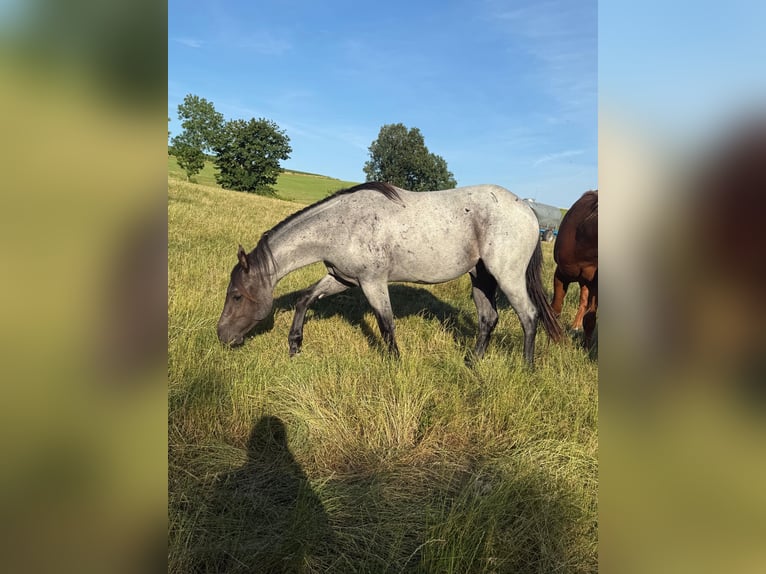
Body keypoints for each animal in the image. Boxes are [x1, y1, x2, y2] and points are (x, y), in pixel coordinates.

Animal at [217, 182, 563, 367]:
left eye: (236, 296)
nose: (222, 336)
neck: (342, 223)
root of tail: (527, 211)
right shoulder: (343, 279)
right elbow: (305, 298)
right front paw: (294, 345)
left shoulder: (372, 283)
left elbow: (386, 324)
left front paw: (395, 366)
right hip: (480, 278)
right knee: (488, 319)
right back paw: (472, 362)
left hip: (507, 277)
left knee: (529, 316)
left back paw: (527, 368)